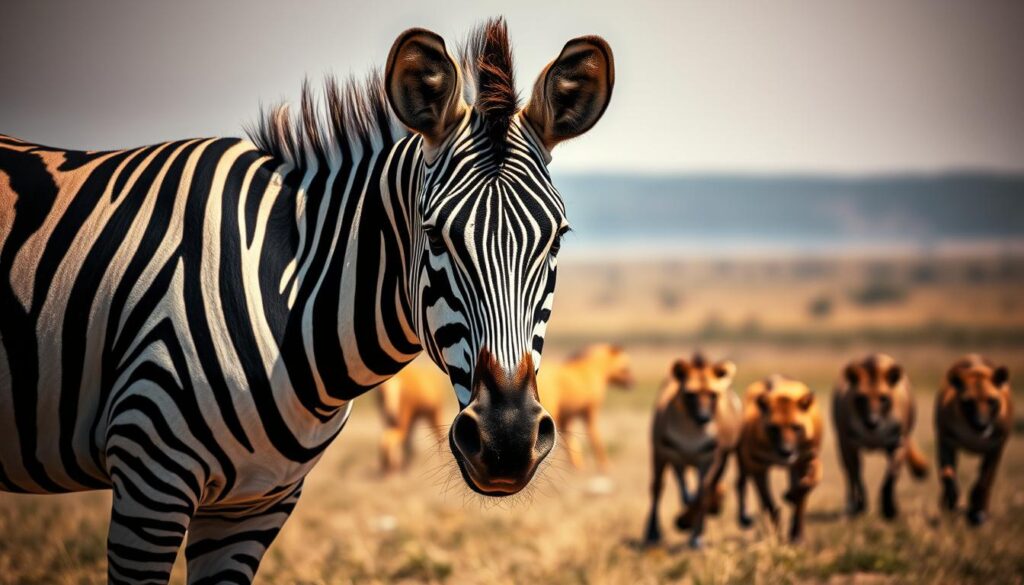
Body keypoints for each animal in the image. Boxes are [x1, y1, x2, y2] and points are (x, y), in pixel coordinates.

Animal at [0, 17, 614, 584]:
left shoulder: (254, 503)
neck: (290, 299)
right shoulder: (150, 475)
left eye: (557, 239)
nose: (508, 442)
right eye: (435, 237)